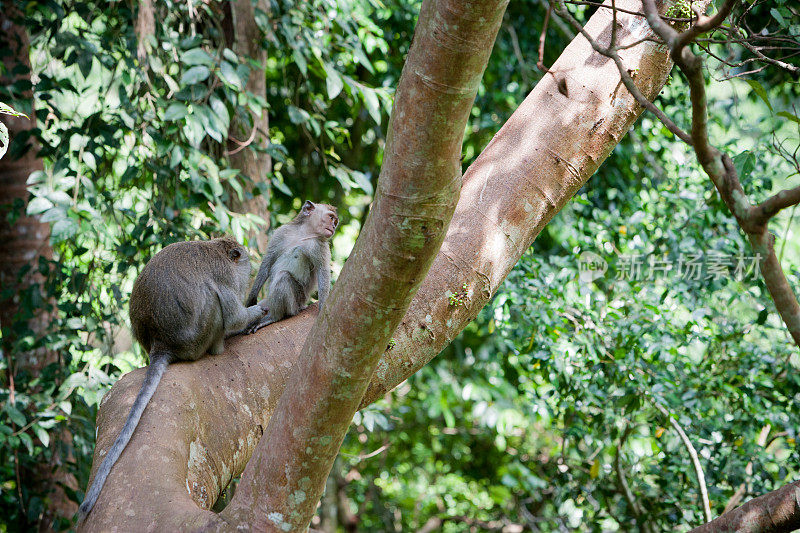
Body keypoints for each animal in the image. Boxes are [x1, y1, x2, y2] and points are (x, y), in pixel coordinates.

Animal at [78, 238, 266, 520]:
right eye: (244, 263)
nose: (250, 274)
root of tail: (161, 343)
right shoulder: (225, 276)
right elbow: (233, 315)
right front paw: (257, 310)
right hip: (198, 340)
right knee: (213, 300)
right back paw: (220, 346)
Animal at [242, 200, 340, 332]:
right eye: (331, 217)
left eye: (335, 221)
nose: (334, 226)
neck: (303, 234)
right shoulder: (282, 232)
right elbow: (267, 262)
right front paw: (251, 298)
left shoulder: (319, 246)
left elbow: (322, 271)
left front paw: (322, 306)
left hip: (297, 302)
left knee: (284, 277)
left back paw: (274, 317)